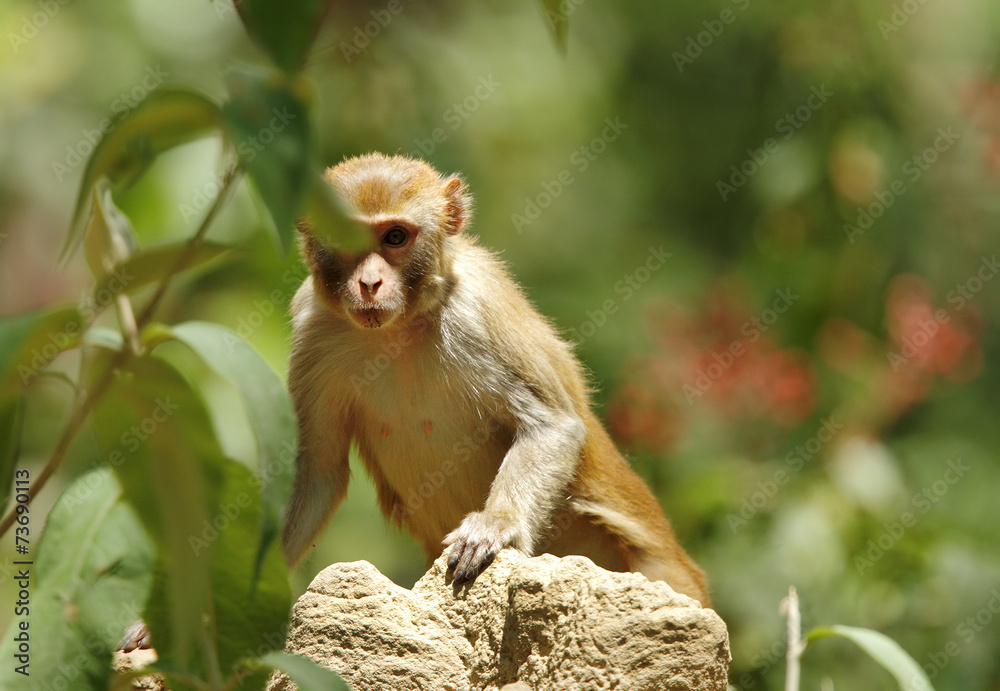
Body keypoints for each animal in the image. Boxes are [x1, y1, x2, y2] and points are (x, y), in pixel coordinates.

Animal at [280, 153, 712, 604]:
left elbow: (552, 426)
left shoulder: (476, 310)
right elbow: (319, 473)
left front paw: (495, 524)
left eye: (395, 237)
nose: (369, 283)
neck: (397, 330)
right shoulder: (312, 329)